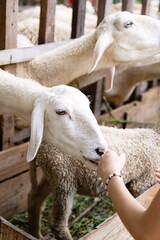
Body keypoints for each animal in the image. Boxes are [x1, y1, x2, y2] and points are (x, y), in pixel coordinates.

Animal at [28, 124, 160, 240]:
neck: (155, 135)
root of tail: (41, 143)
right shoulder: (142, 183)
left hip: (52, 174)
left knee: (35, 197)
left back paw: (35, 234)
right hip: (64, 177)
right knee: (56, 222)